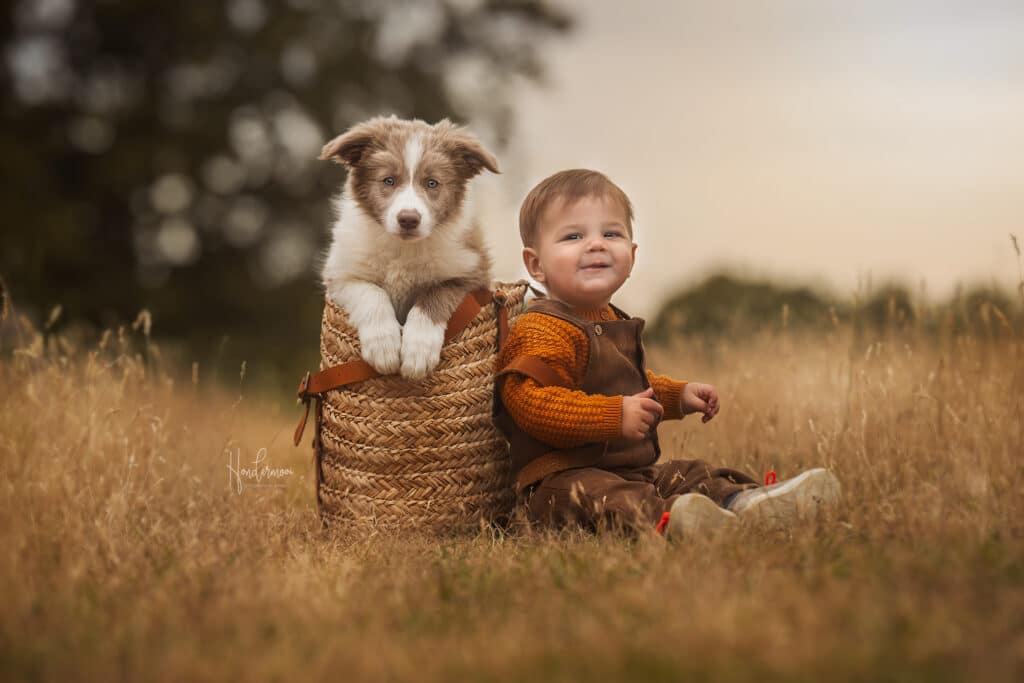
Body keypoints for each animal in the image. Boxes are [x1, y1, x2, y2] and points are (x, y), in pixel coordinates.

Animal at [317, 120, 497, 382]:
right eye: (388, 181)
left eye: (432, 183)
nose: (409, 219)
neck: (403, 248)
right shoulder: (341, 274)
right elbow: (372, 292)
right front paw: (383, 347)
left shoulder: (473, 274)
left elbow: (434, 294)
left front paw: (418, 351)